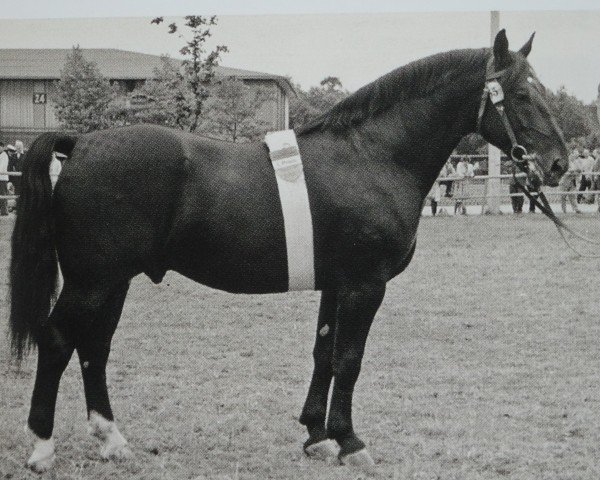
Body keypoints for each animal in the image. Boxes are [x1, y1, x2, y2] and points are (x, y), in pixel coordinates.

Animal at [9, 31, 568, 474]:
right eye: (522, 93)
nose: (559, 163)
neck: (372, 156)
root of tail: (81, 144)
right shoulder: (365, 285)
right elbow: (349, 358)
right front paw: (350, 442)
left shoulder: (337, 284)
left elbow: (324, 353)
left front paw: (316, 436)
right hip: (92, 282)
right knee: (58, 341)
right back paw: (42, 448)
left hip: (113, 281)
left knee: (94, 347)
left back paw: (112, 440)